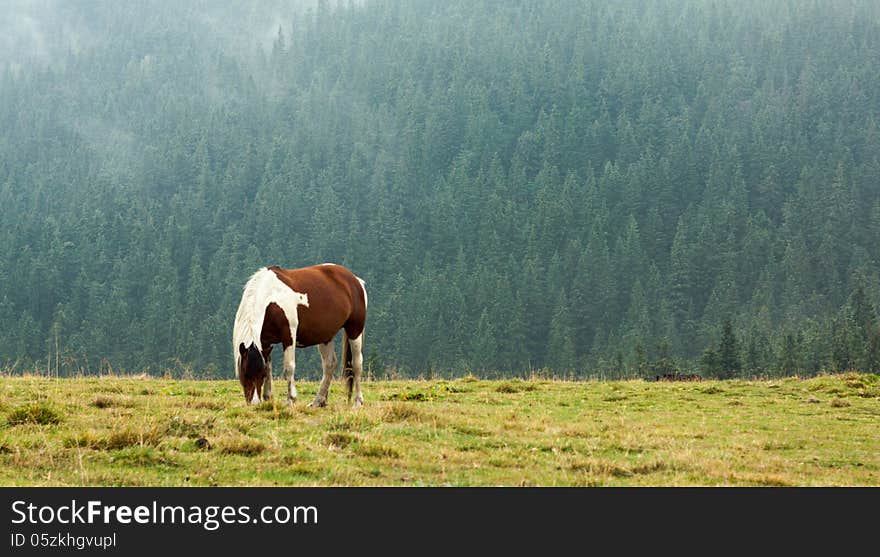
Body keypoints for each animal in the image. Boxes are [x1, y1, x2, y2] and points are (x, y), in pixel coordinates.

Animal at [232, 262, 366, 406]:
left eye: (260, 375)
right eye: (245, 373)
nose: (255, 403)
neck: (271, 297)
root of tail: (355, 280)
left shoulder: (288, 336)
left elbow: (289, 367)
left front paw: (290, 399)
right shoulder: (265, 342)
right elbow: (268, 367)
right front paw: (268, 397)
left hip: (354, 330)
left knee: (357, 363)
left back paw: (358, 402)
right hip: (325, 336)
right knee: (329, 364)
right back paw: (318, 402)